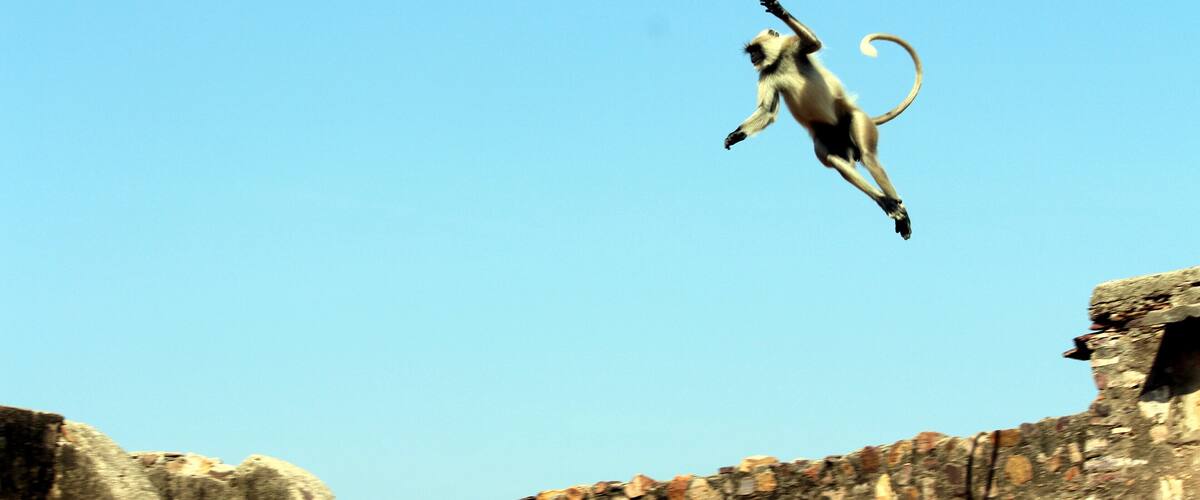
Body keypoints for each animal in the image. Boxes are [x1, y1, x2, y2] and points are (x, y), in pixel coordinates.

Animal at [723, 0, 923, 240]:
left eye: (756, 50)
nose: (753, 58)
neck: (778, 61)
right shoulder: (766, 74)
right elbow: (767, 112)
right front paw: (736, 135)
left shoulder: (792, 47)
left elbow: (813, 43)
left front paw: (778, 10)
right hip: (828, 139)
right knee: (838, 162)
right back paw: (887, 204)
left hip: (856, 119)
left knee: (869, 157)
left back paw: (900, 210)